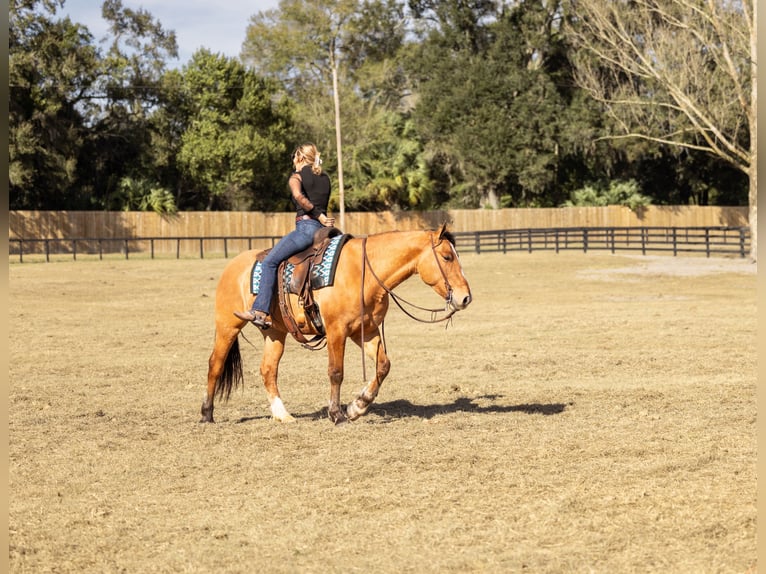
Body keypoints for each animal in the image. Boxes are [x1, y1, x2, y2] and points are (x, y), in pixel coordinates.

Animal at [201, 223, 472, 425]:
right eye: (447, 256)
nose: (465, 298)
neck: (362, 273)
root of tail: (233, 264)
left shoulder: (366, 331)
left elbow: (383, 366)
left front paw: (357, 406)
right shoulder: (336, 331)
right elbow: (336, 372)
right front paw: (337, 414)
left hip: (276, 332)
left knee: (268, 369)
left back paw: (282, 415)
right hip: (228, 325)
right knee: (215, 364)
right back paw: (207, 413)